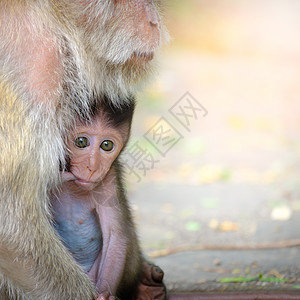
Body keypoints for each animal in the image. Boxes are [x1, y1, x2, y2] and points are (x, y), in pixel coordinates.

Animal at [50, 101, 165, 300]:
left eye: (106, 145)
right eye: (81, 142)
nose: (92, 167)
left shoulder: (109, 179)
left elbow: (116, 236)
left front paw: (105, 294)